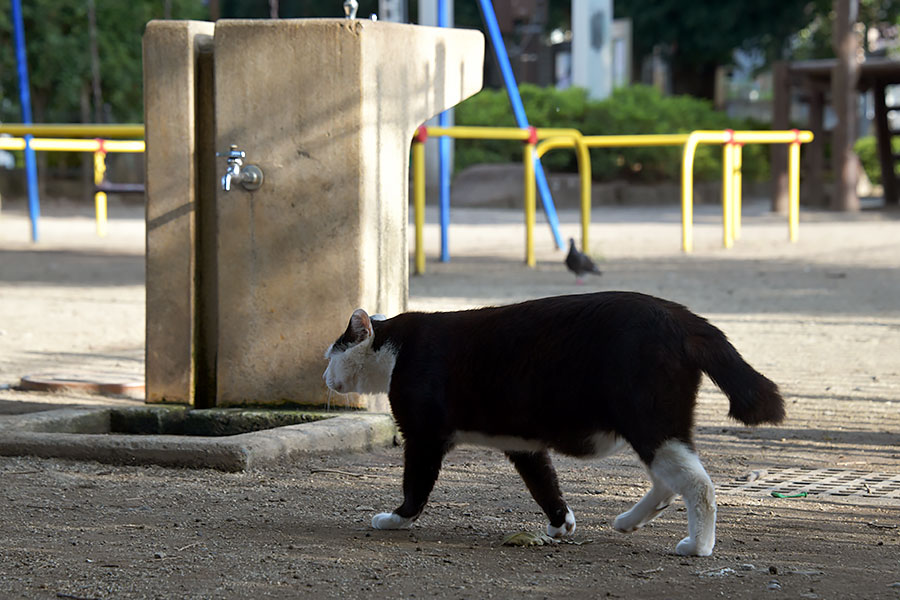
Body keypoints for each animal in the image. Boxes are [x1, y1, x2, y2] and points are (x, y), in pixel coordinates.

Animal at [322, 292, 780, 556]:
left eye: (331, 354)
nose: (324, 375)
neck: (396, 350)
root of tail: (682, 316)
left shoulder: (423, 437)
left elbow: (415, 486)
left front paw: (395, 519)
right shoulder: (523, 445)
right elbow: (544, 484)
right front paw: (562, 524)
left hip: (650, 420)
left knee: (698, 485)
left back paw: (698, 546)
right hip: (657, 427)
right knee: (670, 481)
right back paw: (628, 521)